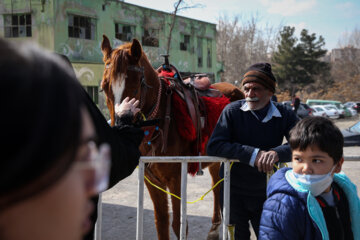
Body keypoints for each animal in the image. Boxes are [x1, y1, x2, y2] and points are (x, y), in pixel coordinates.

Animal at [100, 36, 243, 240]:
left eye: (135, 87)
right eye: (105, 87)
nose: (119, 125)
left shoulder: (176, 178)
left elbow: (178, 224)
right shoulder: (151, 180)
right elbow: (161, 222)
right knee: (216, 184)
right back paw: (215, 228)